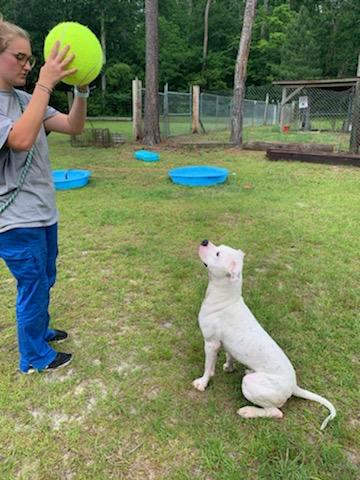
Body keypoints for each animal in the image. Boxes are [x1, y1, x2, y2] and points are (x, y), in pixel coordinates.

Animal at [193, 240, 336, 432]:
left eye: (217, 254)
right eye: (218, 248)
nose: (204, 241)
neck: (226, 297)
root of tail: (294, 386)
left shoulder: (211, 343)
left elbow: (208, 367)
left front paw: (202, 383)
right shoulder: (225, 343)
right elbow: (230, 355)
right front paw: (229, 367)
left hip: (251, 384)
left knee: (275, 412)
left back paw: (249, 411)